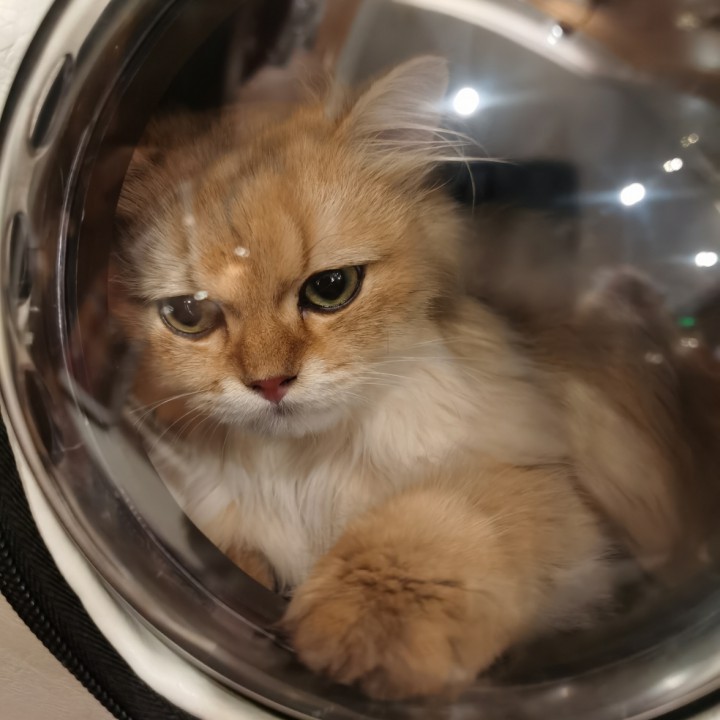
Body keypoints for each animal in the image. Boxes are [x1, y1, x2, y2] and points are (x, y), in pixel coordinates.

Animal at [112, 56, 714, 699]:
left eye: (331, 288)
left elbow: (437, 526)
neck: (303, 473)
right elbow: (232, 548)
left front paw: (362, 627)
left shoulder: (544, 489)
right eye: (188, 314)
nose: (272, 384)